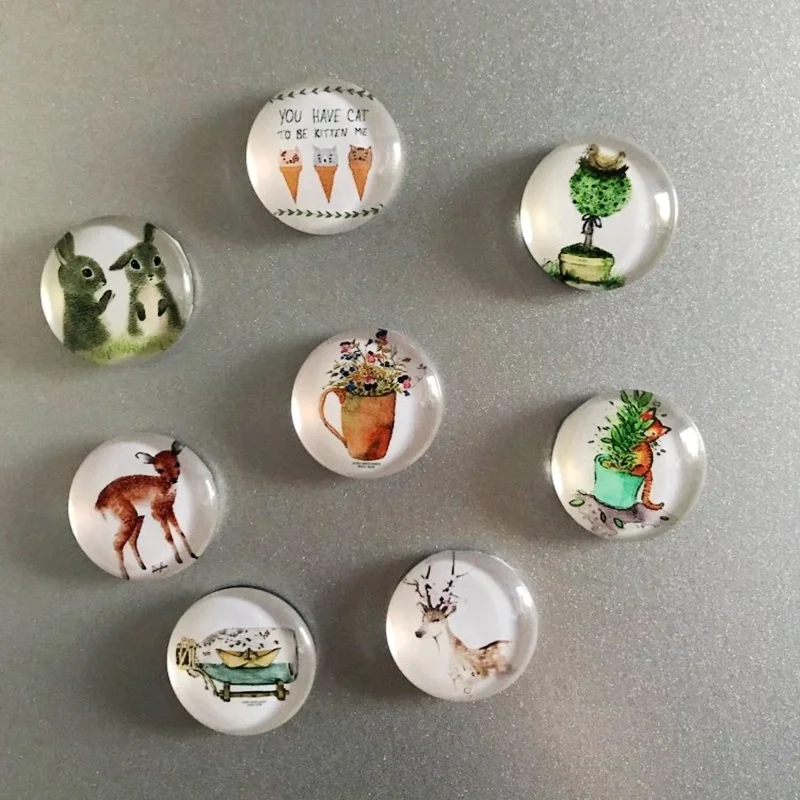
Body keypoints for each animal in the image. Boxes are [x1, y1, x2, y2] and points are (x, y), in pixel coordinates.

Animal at [95, 440, 196, 579]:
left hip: (138, 517)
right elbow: (168, 536)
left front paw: (192, 555)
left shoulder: (169, 509)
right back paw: (126, 575)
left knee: (131, 540)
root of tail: (98, 504)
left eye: (177, 463)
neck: (164, 489)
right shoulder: (157, 511)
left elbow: (180, 532)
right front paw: (179, 559)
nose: (174, 479)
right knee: (117, 543)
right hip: (128, 514)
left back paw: (142, 567)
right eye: (159, 470)